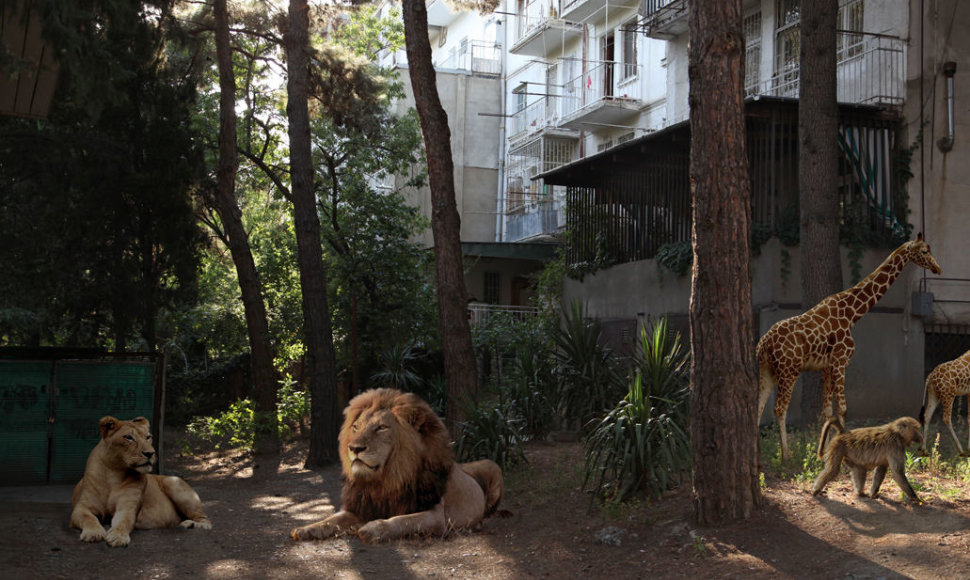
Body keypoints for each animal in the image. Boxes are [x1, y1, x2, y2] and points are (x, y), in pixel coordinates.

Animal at [73, 414, 213, 548]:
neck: (114, 473)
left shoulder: (128, 507)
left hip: (174, 483)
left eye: (148, 437)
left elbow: (124, 521)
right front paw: (93, 533)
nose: (150, 453)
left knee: (205, 520)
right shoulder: (81, 507)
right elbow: (88, 518)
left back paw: (191, 524)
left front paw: (118, 537)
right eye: (128, 437)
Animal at [290, 386, 502, 544]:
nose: (354, 448)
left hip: (492, 466)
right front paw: (307, 528)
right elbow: (332, 519)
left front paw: (373, 528)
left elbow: (402, 520)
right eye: (356, 427)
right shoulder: (359, 508)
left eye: (381, 427)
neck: (385, 481)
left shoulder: (436, 516)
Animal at [756, 233, 936, 460]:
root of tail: (763, 344)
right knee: (779, 408)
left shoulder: (826, 366)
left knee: (758, 405)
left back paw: (758, 454)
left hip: (767, 369)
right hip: (789, 370)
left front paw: (822, 452)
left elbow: (827, 411)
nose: (937, 268)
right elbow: (842, 408)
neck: (852, 313)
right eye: (924, 251)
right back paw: (785, 456)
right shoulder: (841, 361)